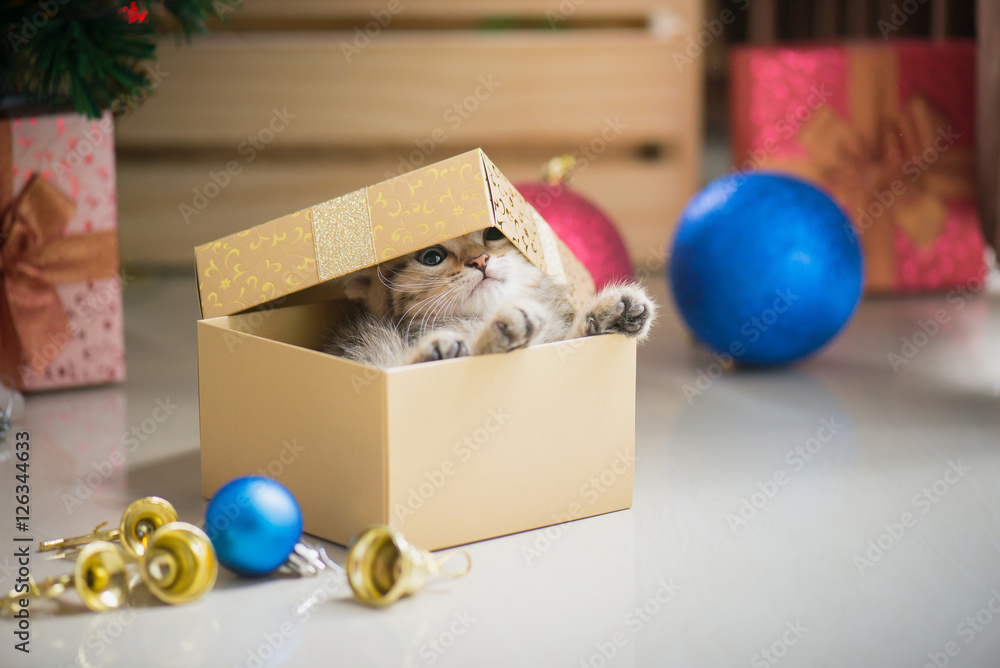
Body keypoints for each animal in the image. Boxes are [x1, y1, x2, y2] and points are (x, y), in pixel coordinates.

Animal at [326, 227, 656, 368]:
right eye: (431, 257)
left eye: (493, 233)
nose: (480, 260)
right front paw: (500, 331)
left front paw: (608, 313)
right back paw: (439, 352)